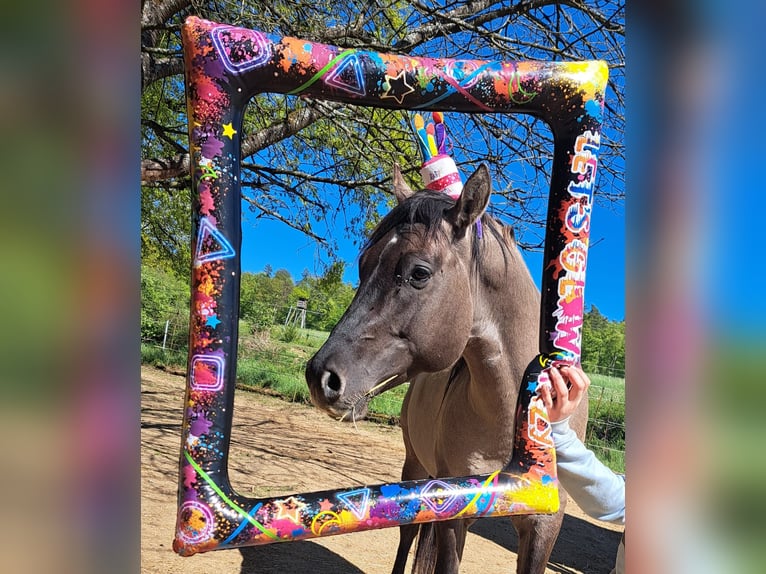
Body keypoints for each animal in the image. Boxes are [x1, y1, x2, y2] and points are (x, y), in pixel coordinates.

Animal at [305, 163, 588, 574]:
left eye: (418, 273)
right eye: (363, 265)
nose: (320, 377)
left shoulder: (543, 526)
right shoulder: (455, 517)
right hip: (414, 468)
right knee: (408, 537)